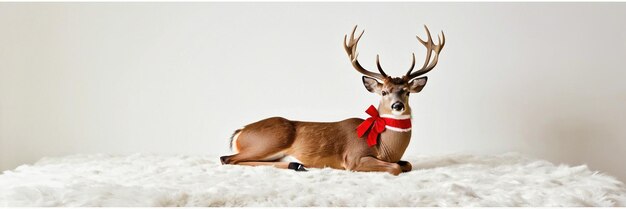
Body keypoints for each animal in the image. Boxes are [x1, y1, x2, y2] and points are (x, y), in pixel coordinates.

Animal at [219, 24, 444, 175]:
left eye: (406, 91)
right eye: (384, 92)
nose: (398, 105)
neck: (385, 148)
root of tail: (240, 132)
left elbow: (407, 164)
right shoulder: (353, 158)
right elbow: (395, 168)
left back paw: (297, 164)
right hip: (269, 141)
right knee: (226, 158)